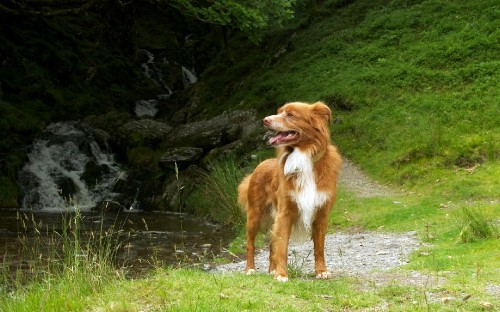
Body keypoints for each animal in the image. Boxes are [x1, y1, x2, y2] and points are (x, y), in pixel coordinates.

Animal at [237, 101, 340, 282]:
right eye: (279, 112)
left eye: (290, 115)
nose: (265, 120)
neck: (304, 157)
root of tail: (260, 164)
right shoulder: (285, 212)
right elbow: (282, 245)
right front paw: (281, 274)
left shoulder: (321, 213)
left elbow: (319, 247)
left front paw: (321, 271)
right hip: (254, 214)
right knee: (250, 243)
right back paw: (250, 269)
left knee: (271, 243)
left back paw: (271, 269)